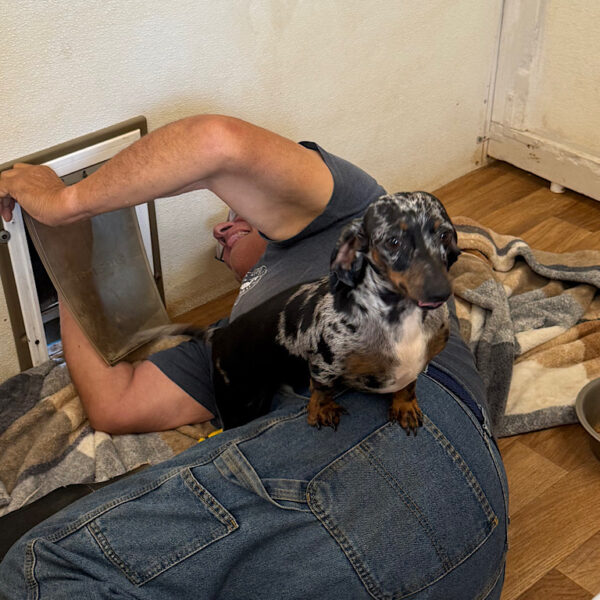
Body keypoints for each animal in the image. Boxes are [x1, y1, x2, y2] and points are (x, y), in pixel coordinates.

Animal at [182, 191, 460, 433]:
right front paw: (322, 409)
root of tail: (221, 333)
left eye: (445, 235)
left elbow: (408, 386)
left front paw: (404, 405)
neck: (400, 317)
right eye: (394, 242)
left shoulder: (414, 366)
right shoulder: (324, 364)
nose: (440, 293)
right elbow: (322, 388)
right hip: (239, 405)